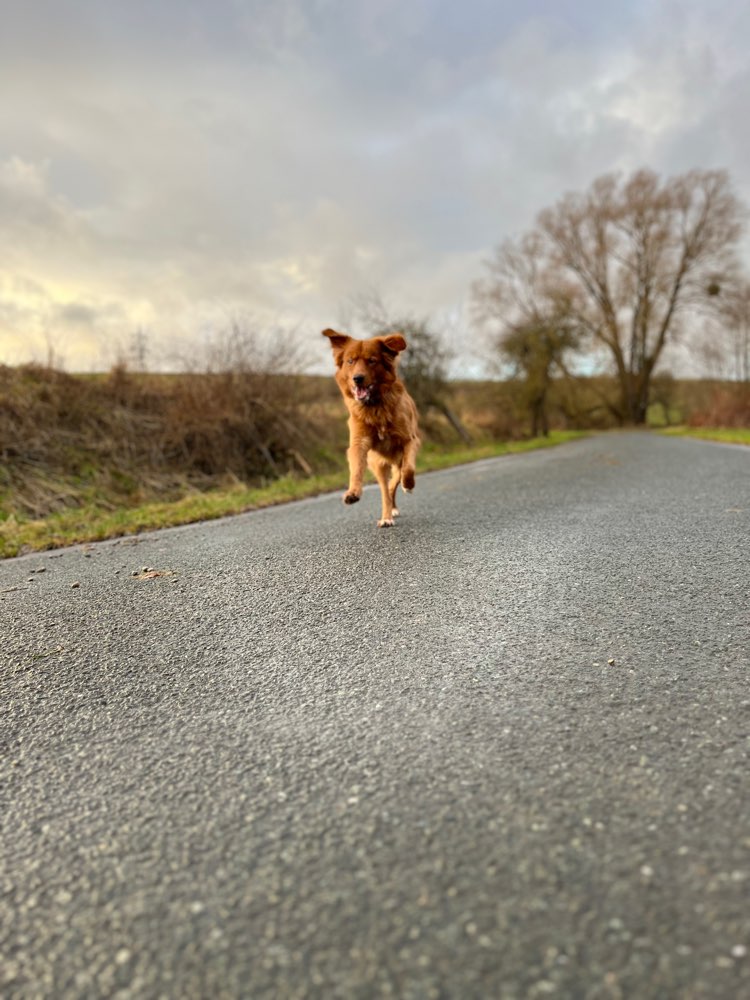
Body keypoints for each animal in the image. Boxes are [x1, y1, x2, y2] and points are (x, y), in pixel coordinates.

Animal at [324, 330, 424, 532]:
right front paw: (352, 492)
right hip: (378, 464)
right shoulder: (358, 444)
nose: (358, 378)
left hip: (396, 461)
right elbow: (356, 470)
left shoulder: (410, 440)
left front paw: (409, 485)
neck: (375, 407)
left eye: (372, 361)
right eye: (350, 361)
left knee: (395, 481)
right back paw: (387, 516)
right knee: (386, 490)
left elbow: (409, 469)